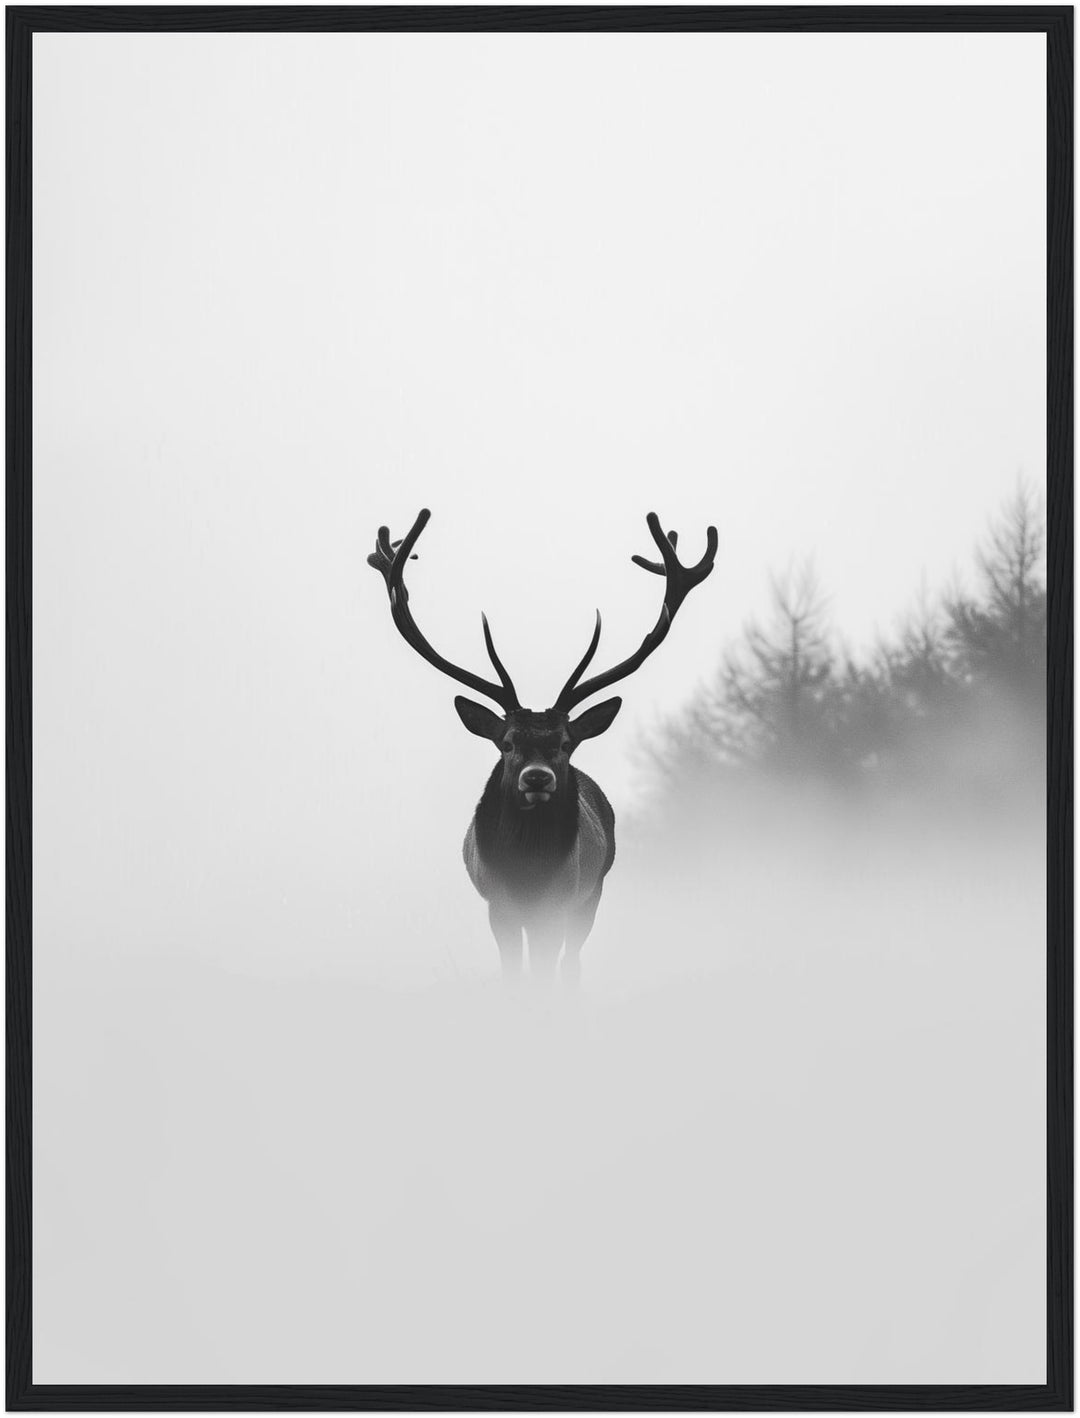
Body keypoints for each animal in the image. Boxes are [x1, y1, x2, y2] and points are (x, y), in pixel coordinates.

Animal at [368, 509, 717, 983]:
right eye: (507, 742)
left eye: (567, 742)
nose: (537, 777)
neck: (527, 873)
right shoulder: (497, 904)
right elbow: (515, 974)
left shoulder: (563, 900)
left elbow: (546, 971)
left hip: (592, 893)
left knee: (571, 962)